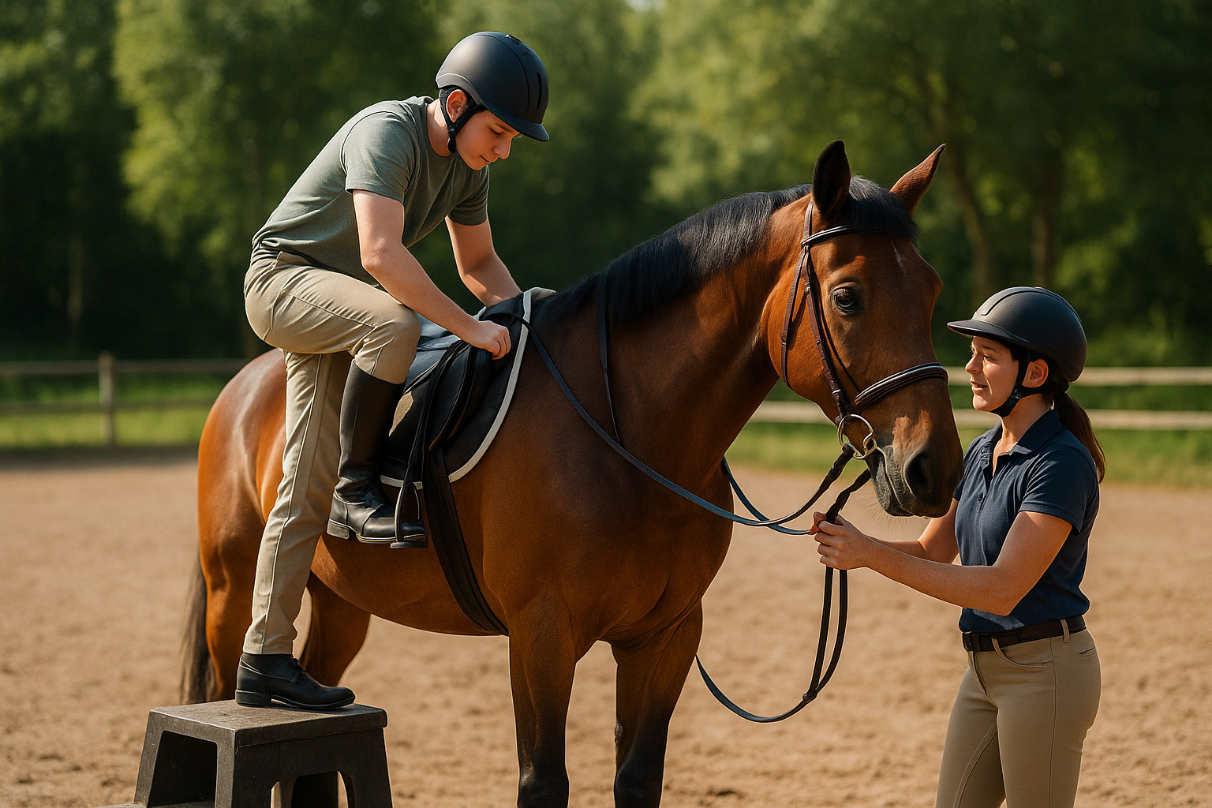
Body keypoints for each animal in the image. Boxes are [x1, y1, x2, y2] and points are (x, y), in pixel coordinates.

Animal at [185, 140, 963, 807]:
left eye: (931, 291)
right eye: (849, 296)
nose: (934, 469)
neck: (628, 439)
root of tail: (247, 382)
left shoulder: (665, 637)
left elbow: (637, 778)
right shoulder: (541, 638)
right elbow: (544, 782)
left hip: (342, 603)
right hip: (235, 589)